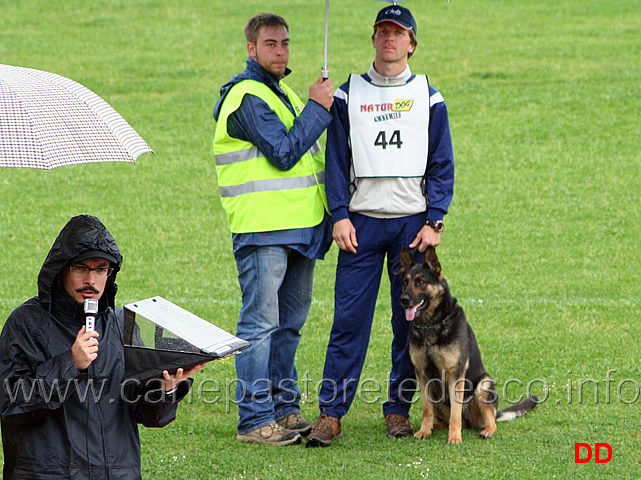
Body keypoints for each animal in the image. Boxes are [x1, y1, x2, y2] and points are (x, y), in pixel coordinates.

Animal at [400, 246, 536, 444]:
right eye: (405, 282)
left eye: (421, 282)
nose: (403, 299)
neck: (431, 325)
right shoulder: (422, 374)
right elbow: (426, 409)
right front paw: (424, 431)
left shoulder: (456, 374)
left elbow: (455, 413)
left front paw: (455, 438)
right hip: (437, 395)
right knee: (442, 416)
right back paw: (436, 426)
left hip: (484, 385)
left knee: (487, 419)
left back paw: (486, 430)